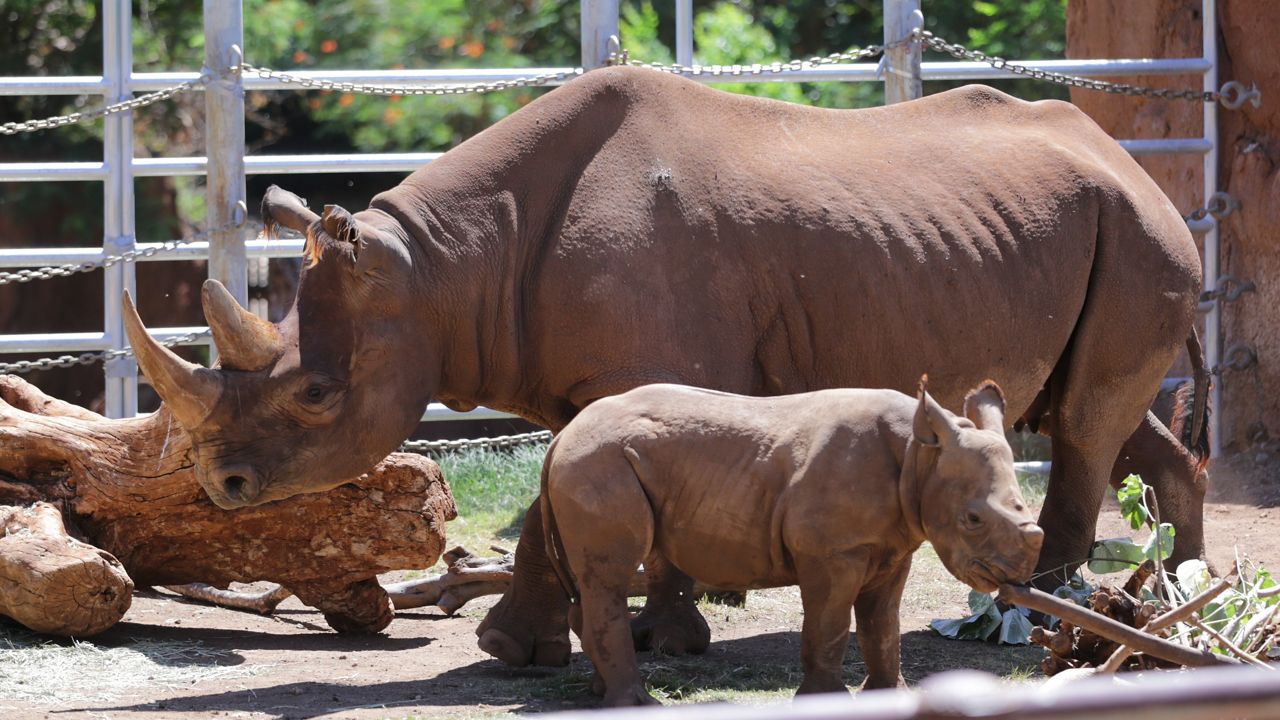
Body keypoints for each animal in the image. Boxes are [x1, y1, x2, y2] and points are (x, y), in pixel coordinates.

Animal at [127, 67, 1208, 666]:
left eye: (315, 395)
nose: (220, 484)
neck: (442, 268)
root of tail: (1131, 157)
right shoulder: (579, 382)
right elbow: (556, 497)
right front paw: (534, 645)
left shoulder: (663, 366)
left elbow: (564, 503)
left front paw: (636, 640)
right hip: (1095, 227)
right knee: (1099, 413)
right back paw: (1162, 589)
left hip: (1140, 231)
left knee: (1085, 422)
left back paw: (1038, 621)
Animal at [545, 379, 1044, 702]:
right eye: (973, 519)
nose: (1017, 574)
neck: (918, 457)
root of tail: (563, 435)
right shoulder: (833, 551)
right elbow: (830, 624)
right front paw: (825, 700)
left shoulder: (893, 547)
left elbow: (883, 626)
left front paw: (890, 697)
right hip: (599, 462)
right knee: (610, 578)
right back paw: (636, 704)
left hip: (593, 462)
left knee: (591, 583)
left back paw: (599, 695)